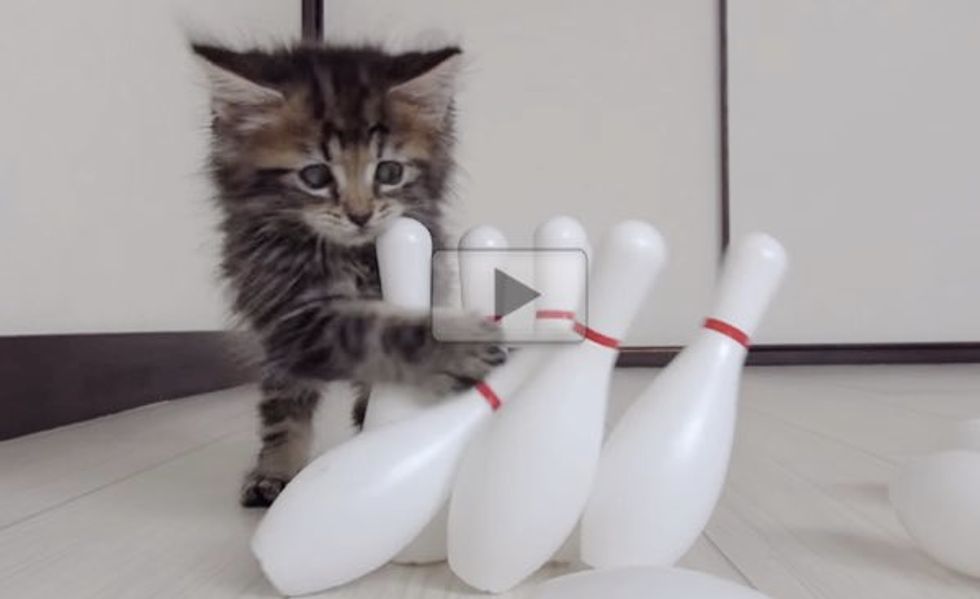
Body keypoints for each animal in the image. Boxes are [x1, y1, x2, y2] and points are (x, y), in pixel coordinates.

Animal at [189, 42, 506, 508]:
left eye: (389, 172)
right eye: (315, 176)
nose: (360, 215)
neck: (349, 255)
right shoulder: (290, 312)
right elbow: (378, 332)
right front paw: (460, 344)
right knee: (283, 400)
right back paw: (276, 469)